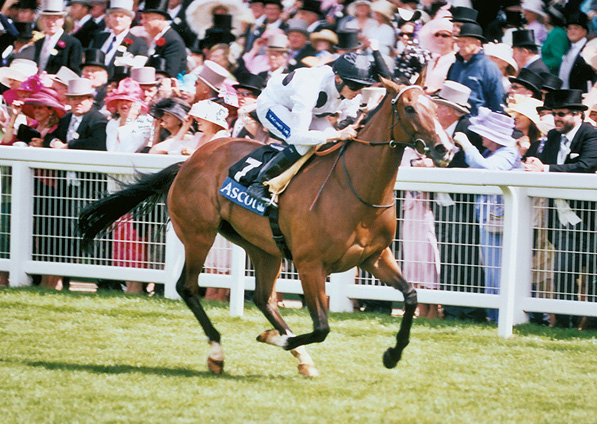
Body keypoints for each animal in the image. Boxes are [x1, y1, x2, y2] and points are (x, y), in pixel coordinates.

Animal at [78, 78, 452, 376]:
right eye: (409, 108)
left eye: (435, 106)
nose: (444, 148)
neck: (355, 188)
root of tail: (189, 160)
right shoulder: (310, 264)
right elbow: (322, 327)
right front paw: (277, 339)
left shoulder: (374, 256)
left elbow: (411, 296)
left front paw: (392, 354)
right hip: (199, 234)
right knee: (188, 287)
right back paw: (218, 352)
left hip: (262, 247)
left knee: (262, 298)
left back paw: (300, 357)